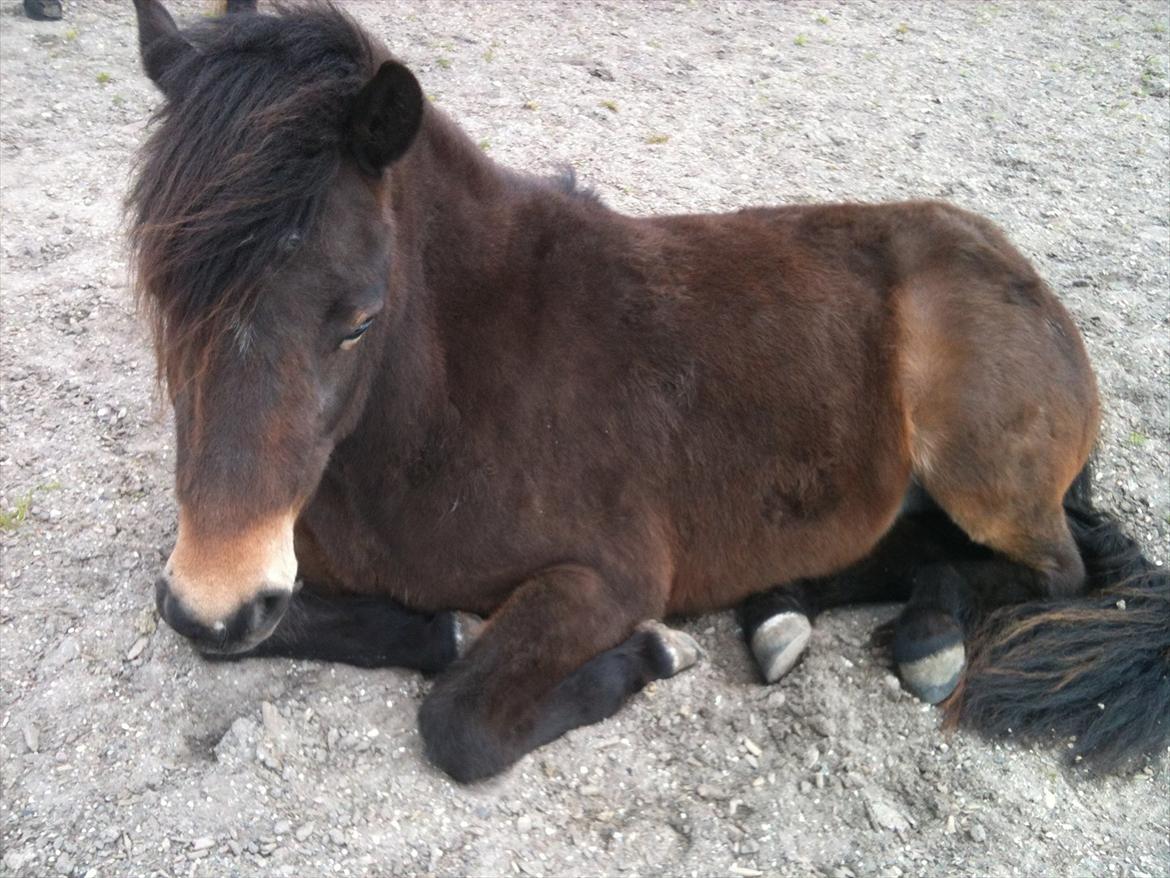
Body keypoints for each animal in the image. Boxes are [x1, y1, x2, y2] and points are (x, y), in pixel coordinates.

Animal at [130, 0, 1170, 782]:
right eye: (160, 301)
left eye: (356, 319)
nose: (217, 593)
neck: (445, 399)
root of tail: (1020, 273)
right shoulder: (273, 569)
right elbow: (259, 637)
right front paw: (442, 629)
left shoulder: (609, 578)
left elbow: (460, 725)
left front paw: (651, 653)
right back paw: (788, 609)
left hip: (981, 470)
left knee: (1052, 571)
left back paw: (921, 634)